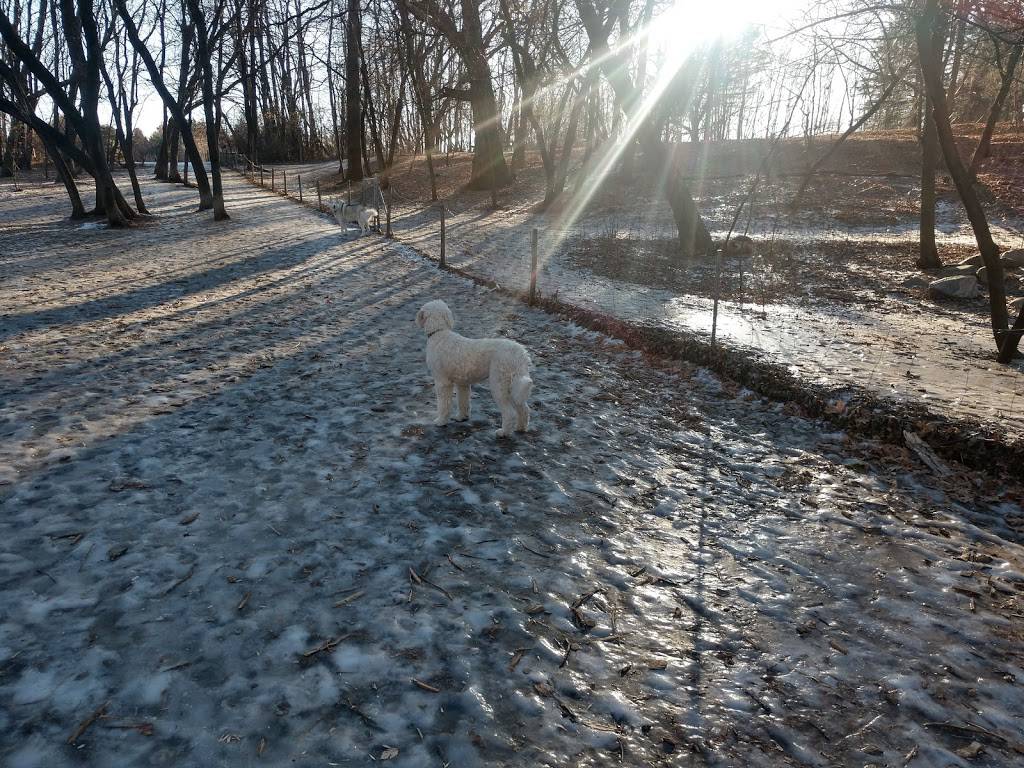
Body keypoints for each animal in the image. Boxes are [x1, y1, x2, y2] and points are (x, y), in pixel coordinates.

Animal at [413, 299, 532, 436]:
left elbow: (444, 404)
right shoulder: (462, 383)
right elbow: (463, 401)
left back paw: (503, 432)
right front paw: (462, 417)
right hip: (515, 385)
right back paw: (521, 428)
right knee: (524, 408)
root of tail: (520, 353)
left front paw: (441, 421)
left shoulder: (442, 382)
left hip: (499, 384)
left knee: (510, 412)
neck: (439, 332)